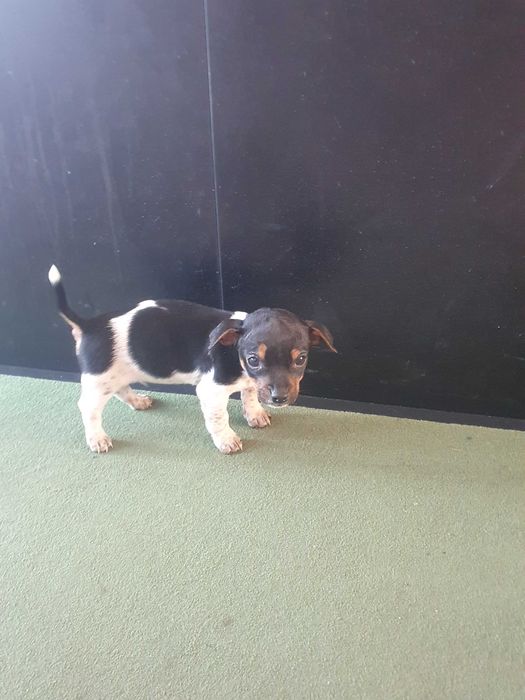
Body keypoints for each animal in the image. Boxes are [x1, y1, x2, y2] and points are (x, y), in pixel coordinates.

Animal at [48, 265, 336, 454]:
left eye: (301, 358)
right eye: (253, 359)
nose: (279, 398)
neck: (234, 353)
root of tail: (89, 325)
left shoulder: (250, 384)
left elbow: (250, 395)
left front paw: (255, 414)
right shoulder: (211, 391)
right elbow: (219, 418)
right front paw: (227, 440)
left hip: (114, 374)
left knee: (121, 389)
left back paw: (138, 401)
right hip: (99, 379)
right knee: (88, 409)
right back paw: (97, 438)